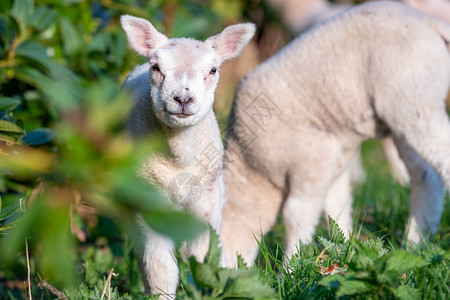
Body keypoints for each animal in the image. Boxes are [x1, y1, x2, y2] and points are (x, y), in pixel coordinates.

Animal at [119, 15, 255, 298]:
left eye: (213, 70)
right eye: (156, 67)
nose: (183, 98)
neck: (180, 159)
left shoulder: (206, 206)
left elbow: (204, 260)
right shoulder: (150, 204)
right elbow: (160, 268)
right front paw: (161, 294)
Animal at [221, 0, 450, 268]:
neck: (254, 172)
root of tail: (428, 21)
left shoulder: (313, 156)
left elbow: (297, 214)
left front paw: (290, 267)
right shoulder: (336, 159)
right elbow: (336, 207)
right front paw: (347, 251)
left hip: (412, 99)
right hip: (410, 108)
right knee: (426, 177)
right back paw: (415, 244)